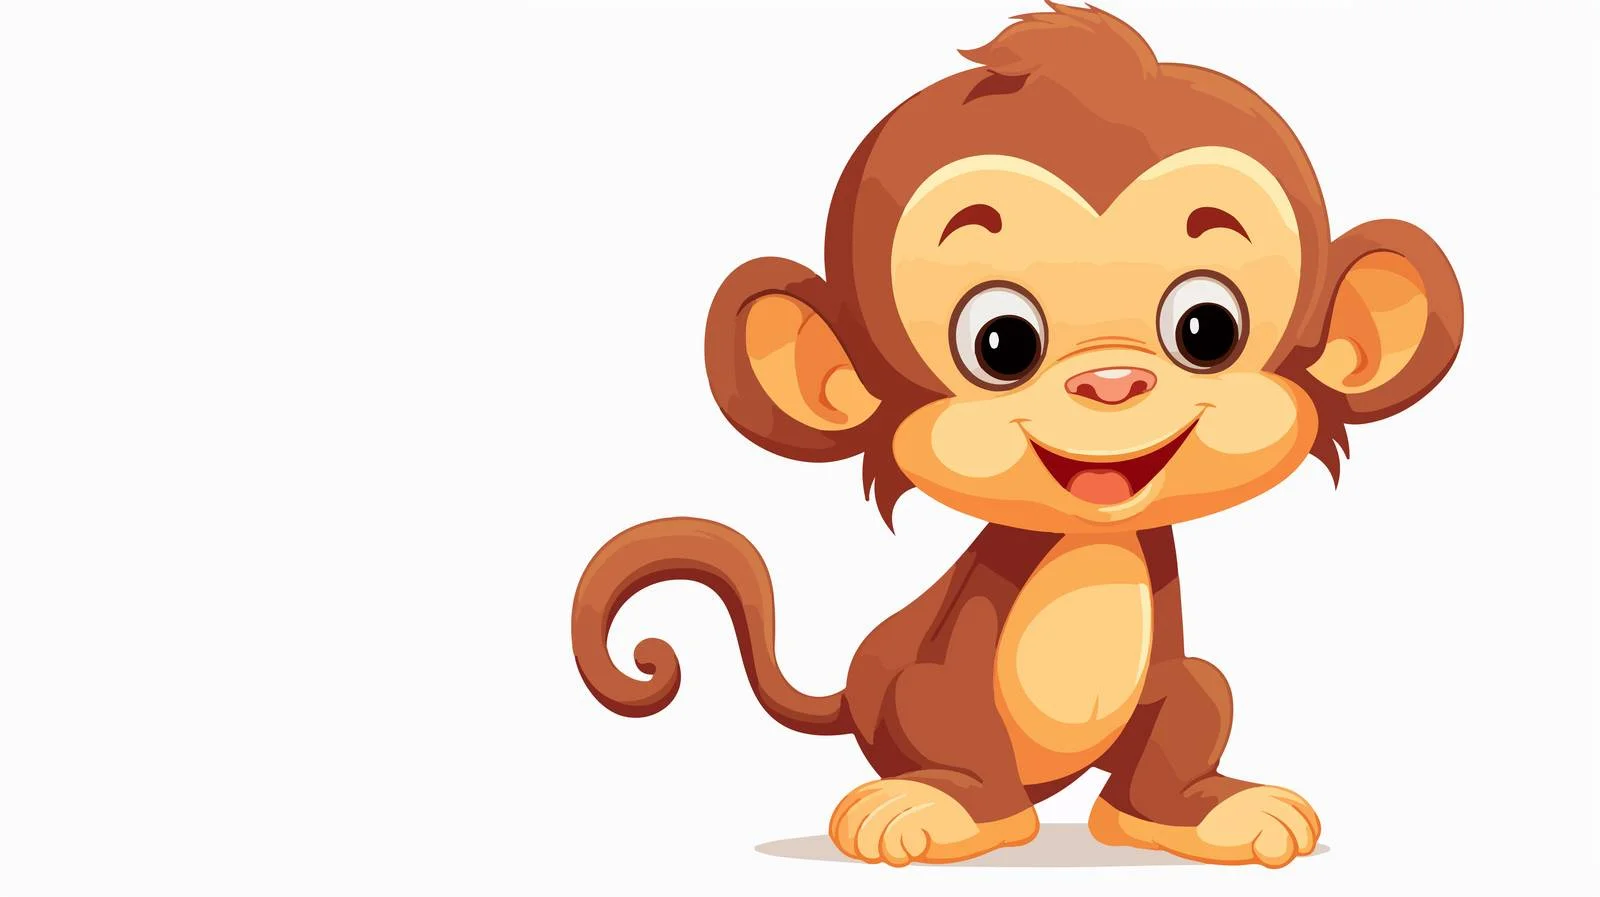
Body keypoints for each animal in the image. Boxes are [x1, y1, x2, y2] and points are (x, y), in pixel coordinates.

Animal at [571, 4, 1462, 869]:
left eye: (1208, 327)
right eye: (1001, 341)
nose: (1112, 382)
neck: (1088, 549)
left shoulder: (1172, 669)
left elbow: (1189, 712)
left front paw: (1198, 813)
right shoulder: (958, 652)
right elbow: (959, 725)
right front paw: (949, 811)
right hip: (897, 694)